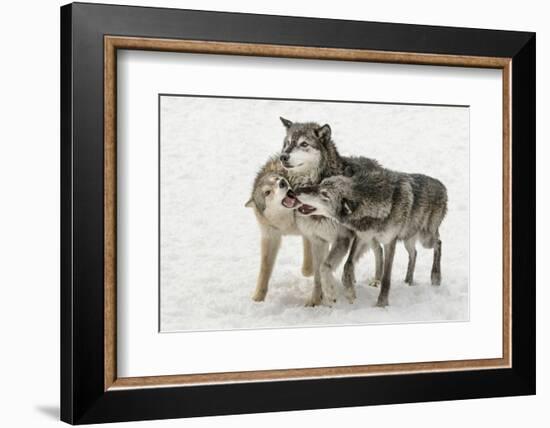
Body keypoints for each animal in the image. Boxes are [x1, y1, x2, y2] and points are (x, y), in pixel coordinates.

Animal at [247, 156, 314, 300]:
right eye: (267, 192)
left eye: (277, 179)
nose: (282, 182)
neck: (288, 223)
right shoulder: (271, 236)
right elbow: (264, 269)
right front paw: (258, 298)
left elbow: (307, 267)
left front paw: (309, 272)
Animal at [294, 164, 448, 308]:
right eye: (321, 183)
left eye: (325, 194)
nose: (296, 191)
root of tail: (442, 186)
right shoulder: (362, 237)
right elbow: (348, 265)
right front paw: (350, 292)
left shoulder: (389, 242)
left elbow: (386, 278)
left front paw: (381, 303)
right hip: (407, 239)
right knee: (414, 253)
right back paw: (408, 281)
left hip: (425, 239)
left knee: (439, 243)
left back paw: (435, 277)